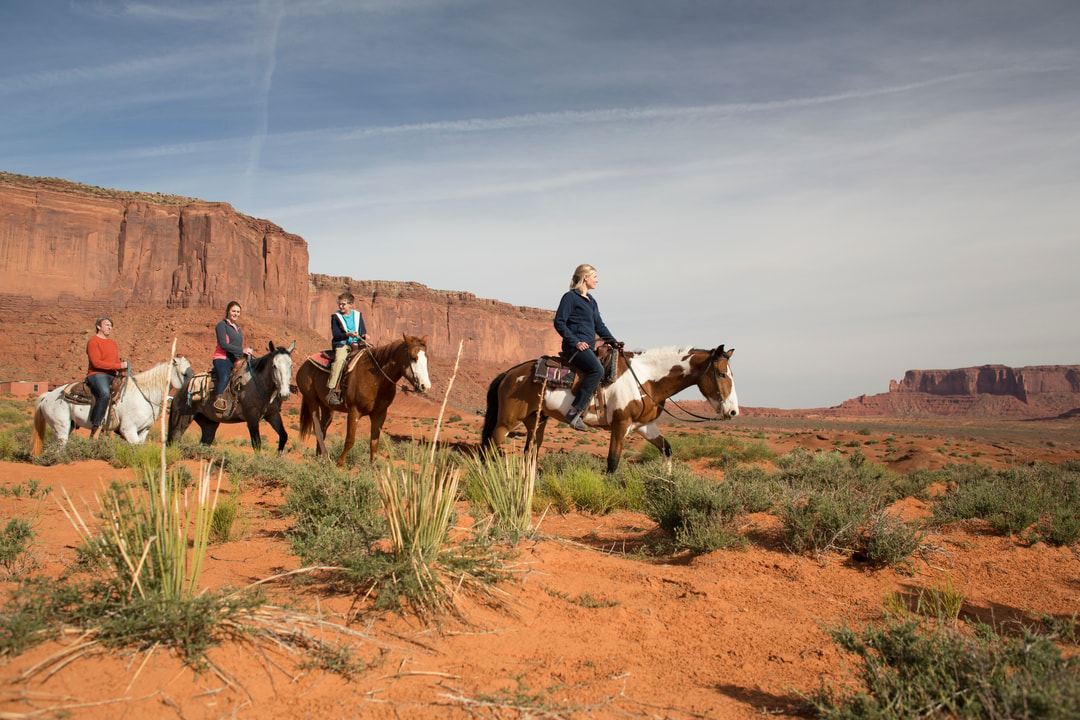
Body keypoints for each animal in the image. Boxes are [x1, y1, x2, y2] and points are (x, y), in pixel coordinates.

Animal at [31, 356, 196, 455]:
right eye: (184, 373)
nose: (192, 387)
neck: (145, 393)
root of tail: (48, 396)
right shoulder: (128, 429)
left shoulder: (144, 430)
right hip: (62, 428)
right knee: (60, 447)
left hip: (63, 427)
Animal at [165, 343, 293, 451]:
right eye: (274, 366)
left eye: (291, 365)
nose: (284, 394)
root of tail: (180, 390)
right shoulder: (252, 418)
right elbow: (256, 443)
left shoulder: (272, 415)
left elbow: (283, 436)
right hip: (182, 419)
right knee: (173, 440)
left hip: (209, 424)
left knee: (205, 441)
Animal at [295, 336, 434, 470]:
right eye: (413, 358)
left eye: (426, 358)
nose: (425, 386)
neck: (377, 378)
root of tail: (305, 364)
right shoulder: (354, 411)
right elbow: (350, 440)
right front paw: (339, 463)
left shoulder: (380, 414)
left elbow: (374, 441)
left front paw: (372, 466)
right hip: (311, 399)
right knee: (317, 427)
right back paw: (326, 457)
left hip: (327, 407)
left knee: (323, 427)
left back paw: (320, 457)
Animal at [486, 345, 738, 472]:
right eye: (722, 374)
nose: (733, 412)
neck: (645, 379)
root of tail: (510, 373)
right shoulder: (621, 424)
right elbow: (613, 461)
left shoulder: (644, 425)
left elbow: (666, 449)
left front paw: (667, 482)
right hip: (507, 421)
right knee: (490, 448)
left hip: (536, 420)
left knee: (530, 453)